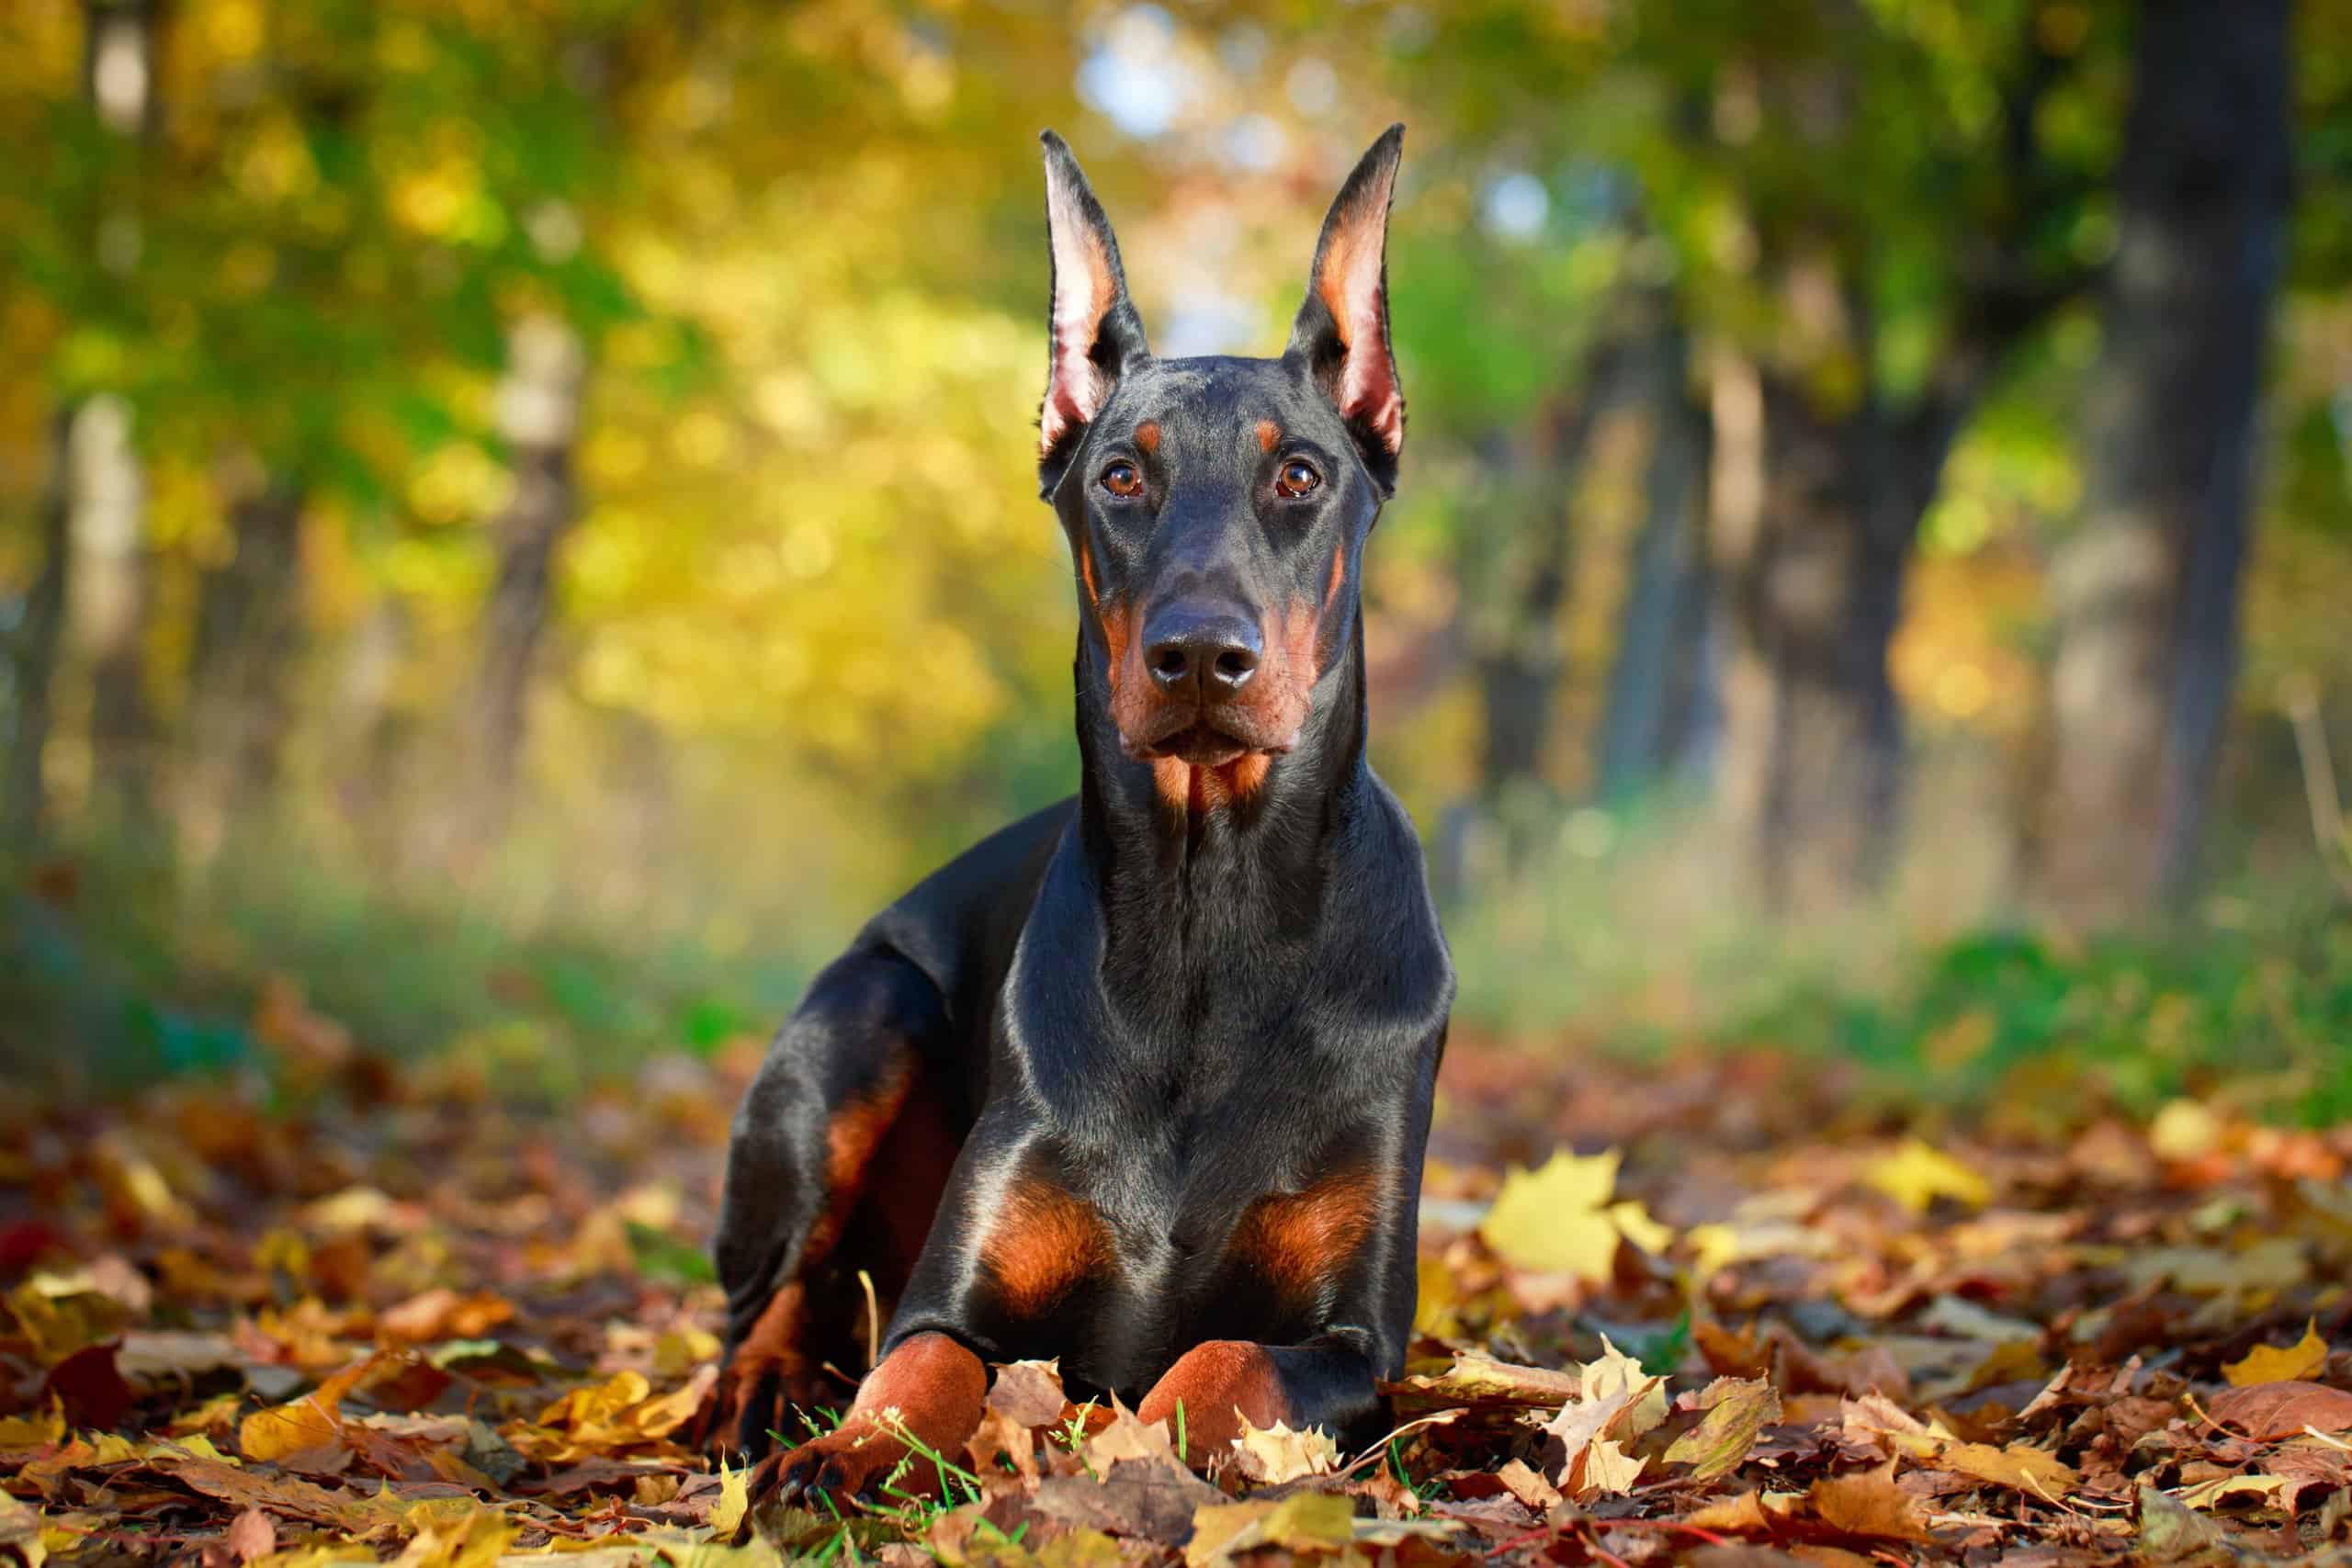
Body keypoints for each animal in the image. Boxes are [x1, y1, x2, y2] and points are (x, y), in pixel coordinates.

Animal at [706, 125, 1448, 1504]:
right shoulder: (950, 1299)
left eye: (1300, 473)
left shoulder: (1357, 1337)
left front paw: (1120, 1446)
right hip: (858, 1021)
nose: (1199, 655)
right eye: (1119, 474)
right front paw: (849, 1450)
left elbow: (1219, 1362)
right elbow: (915, 1370)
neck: (1211, 922)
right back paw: (759, 1392)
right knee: (768, 1298)